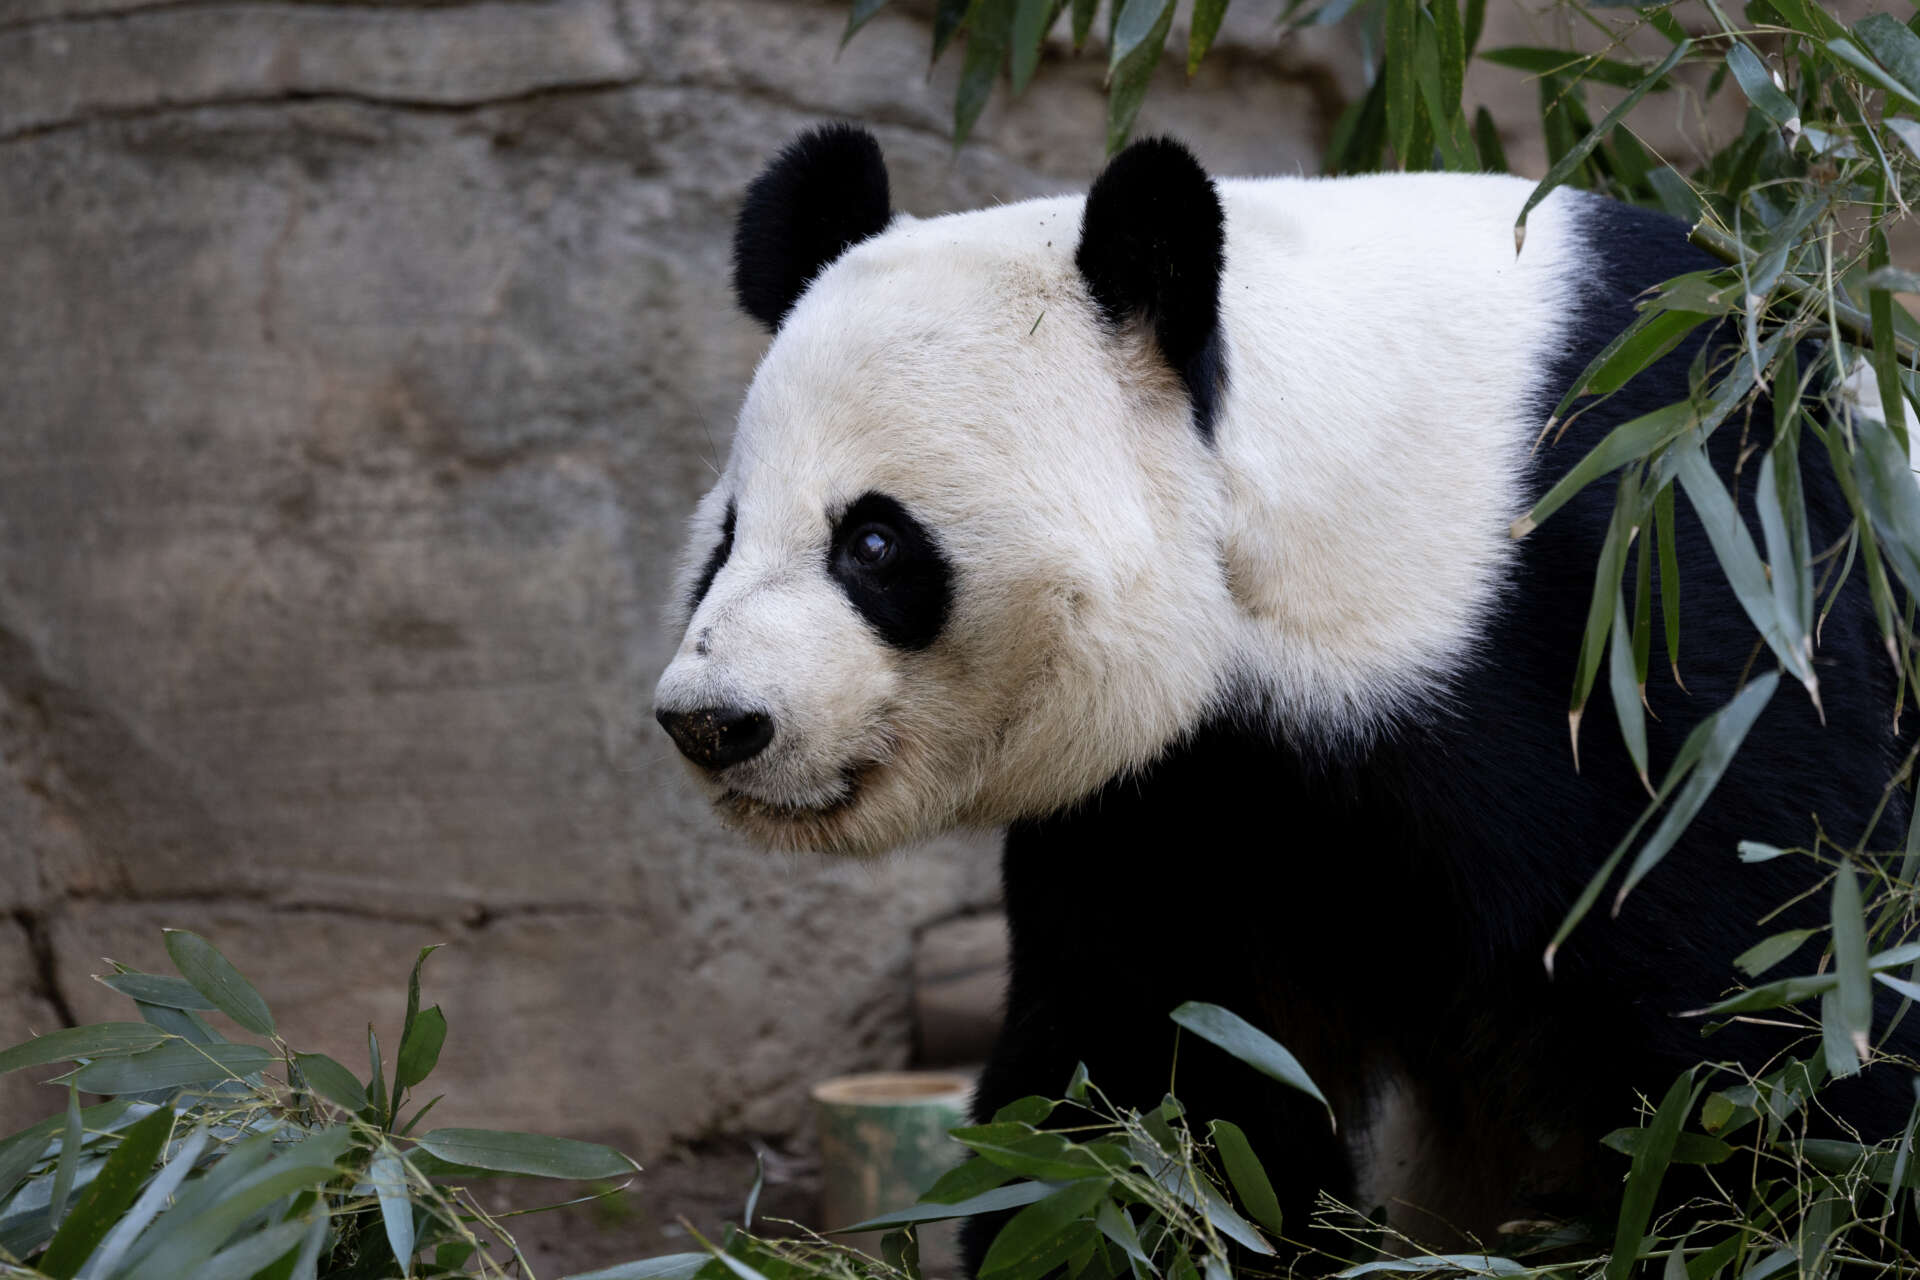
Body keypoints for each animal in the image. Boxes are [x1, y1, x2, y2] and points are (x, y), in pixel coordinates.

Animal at [656, 127, 1904, 1258]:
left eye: (873, 542)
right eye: (726, 537)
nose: (714, 720)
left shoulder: (1668, 597)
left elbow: (1772, 1035)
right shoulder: (1186, 789)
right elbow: (1152, 1091)